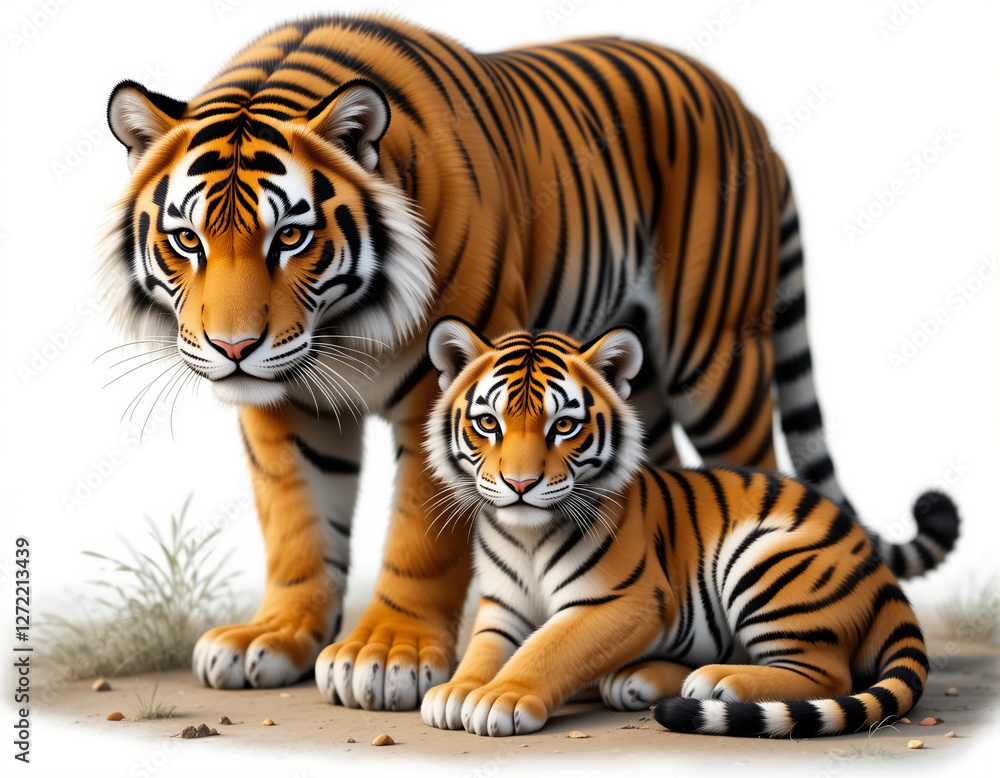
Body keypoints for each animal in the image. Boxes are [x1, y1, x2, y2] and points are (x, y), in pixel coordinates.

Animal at [102, 14, 931, 707]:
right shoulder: (287, 402)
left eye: (291, 238)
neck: (341, 328)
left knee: (754, 468)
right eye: (186, 240)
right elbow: (297, 523)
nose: (233, 350)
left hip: (715, 357)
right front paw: (273, 638)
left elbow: (420, 533)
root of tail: (750, 114)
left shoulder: (432, 391)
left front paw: (386, 655)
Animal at [418, 318, 959, 737]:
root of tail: (881, 572)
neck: (526, 535)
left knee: (830, 675)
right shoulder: (502, 605)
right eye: (488, 423)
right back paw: (637, 680)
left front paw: (500, 698)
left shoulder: (625, 601)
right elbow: (484, 649)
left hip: (764, 562)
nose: (520, 484)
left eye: (564, 427)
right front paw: (457, 690)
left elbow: (549, 649)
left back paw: (721, 682)